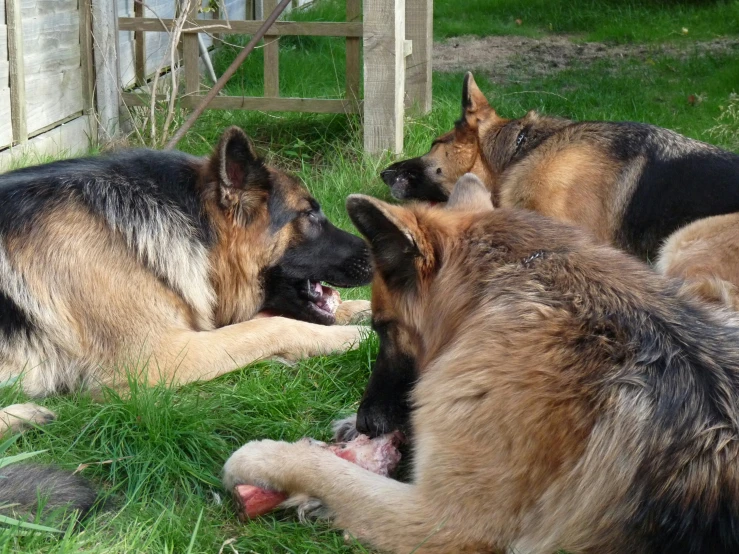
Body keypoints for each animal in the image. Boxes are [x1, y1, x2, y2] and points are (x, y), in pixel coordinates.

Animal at [0, 126, 372, 436]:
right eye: (309, 215)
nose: (378, 256)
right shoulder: (155, 358)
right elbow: (273, 326)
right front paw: (354, 336)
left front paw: (363, 311)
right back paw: (25, 417)